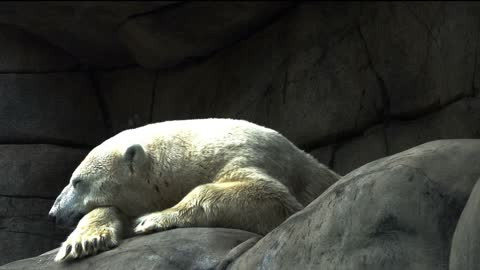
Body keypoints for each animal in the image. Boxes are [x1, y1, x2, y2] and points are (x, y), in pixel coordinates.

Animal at [47, 118, 342, 262]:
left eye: (77, 182)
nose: (53, 213)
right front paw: (83, 243)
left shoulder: (246, 155)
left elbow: (272, 198)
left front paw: (152, 219)